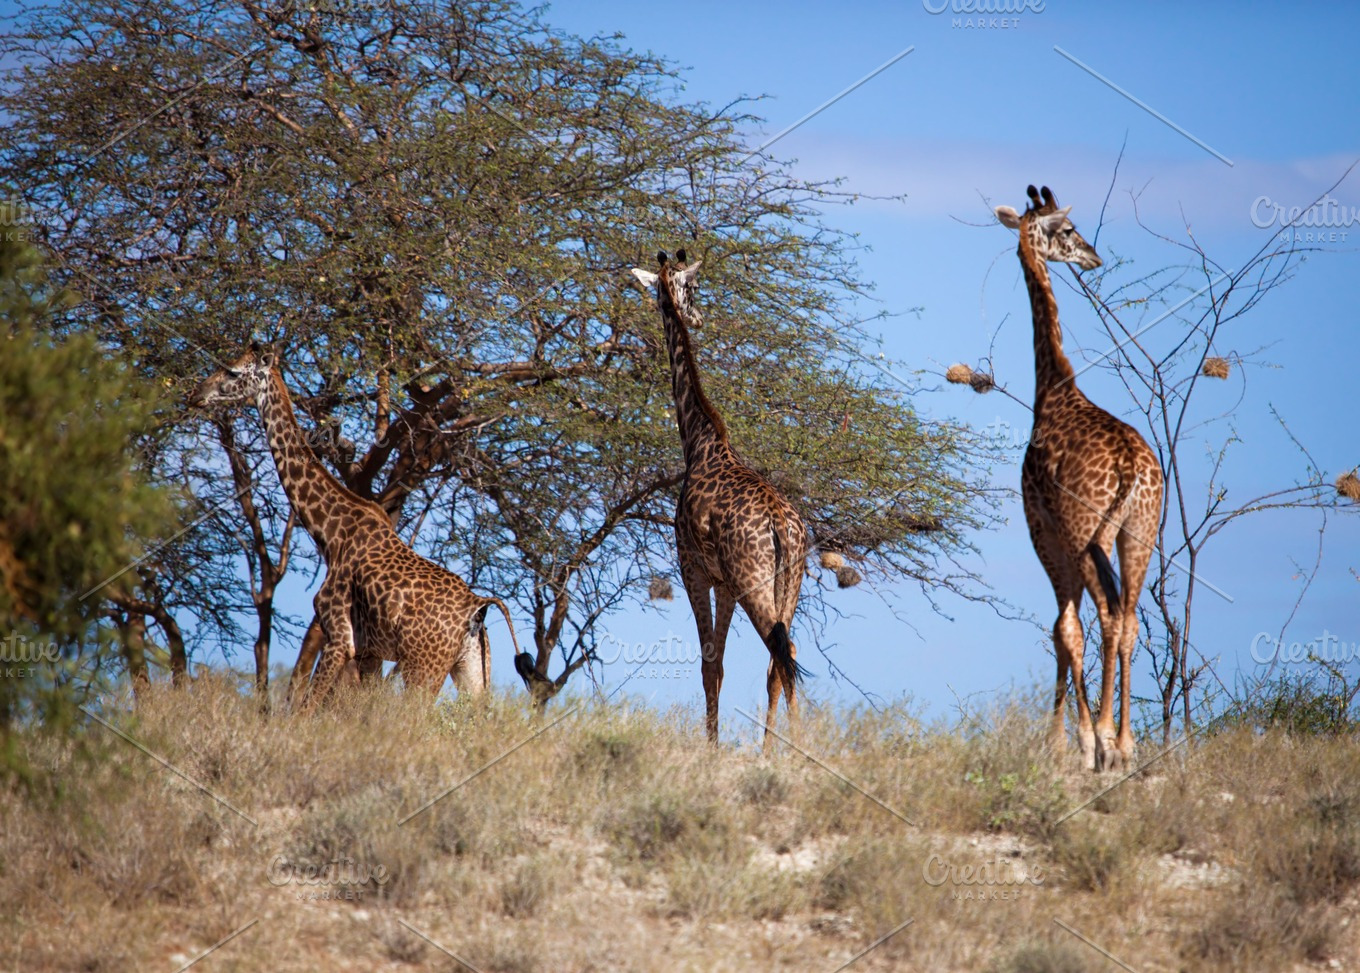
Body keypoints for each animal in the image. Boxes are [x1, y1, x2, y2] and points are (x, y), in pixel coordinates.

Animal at [191, 347, 524, 713]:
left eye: (233, 372)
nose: (197, 395)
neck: (329, 532)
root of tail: (477, 605)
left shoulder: (339, 639)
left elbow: (304, 711)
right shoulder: (368, 653)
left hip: (424, 666)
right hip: (471, 666)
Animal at [633, 249, 810, 745]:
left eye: (690, 288)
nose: (697, 315)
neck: (698, 440)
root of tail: (782, 526)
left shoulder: (693, 569)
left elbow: (709, 665)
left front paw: (709, 749)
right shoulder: (726, 584)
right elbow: (723, 665)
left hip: (755, 582)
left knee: (781, 651)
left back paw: (793, 749)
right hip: (790, 582)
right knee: (782, 657)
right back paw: (778, 749)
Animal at [995, 186, 1164, 772]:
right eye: (1068, 230)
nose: (1093, 256)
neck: (1053, 388)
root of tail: (1133, 468)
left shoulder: (1042, 526)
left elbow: (1063, 629)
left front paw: (1068, 743)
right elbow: (1071, 628)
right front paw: (1083, 740)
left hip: (1087, 532)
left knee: (1106, 617)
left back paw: (1108, 740)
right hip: (1139, 533)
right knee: (1129, 618)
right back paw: (1128, 743)